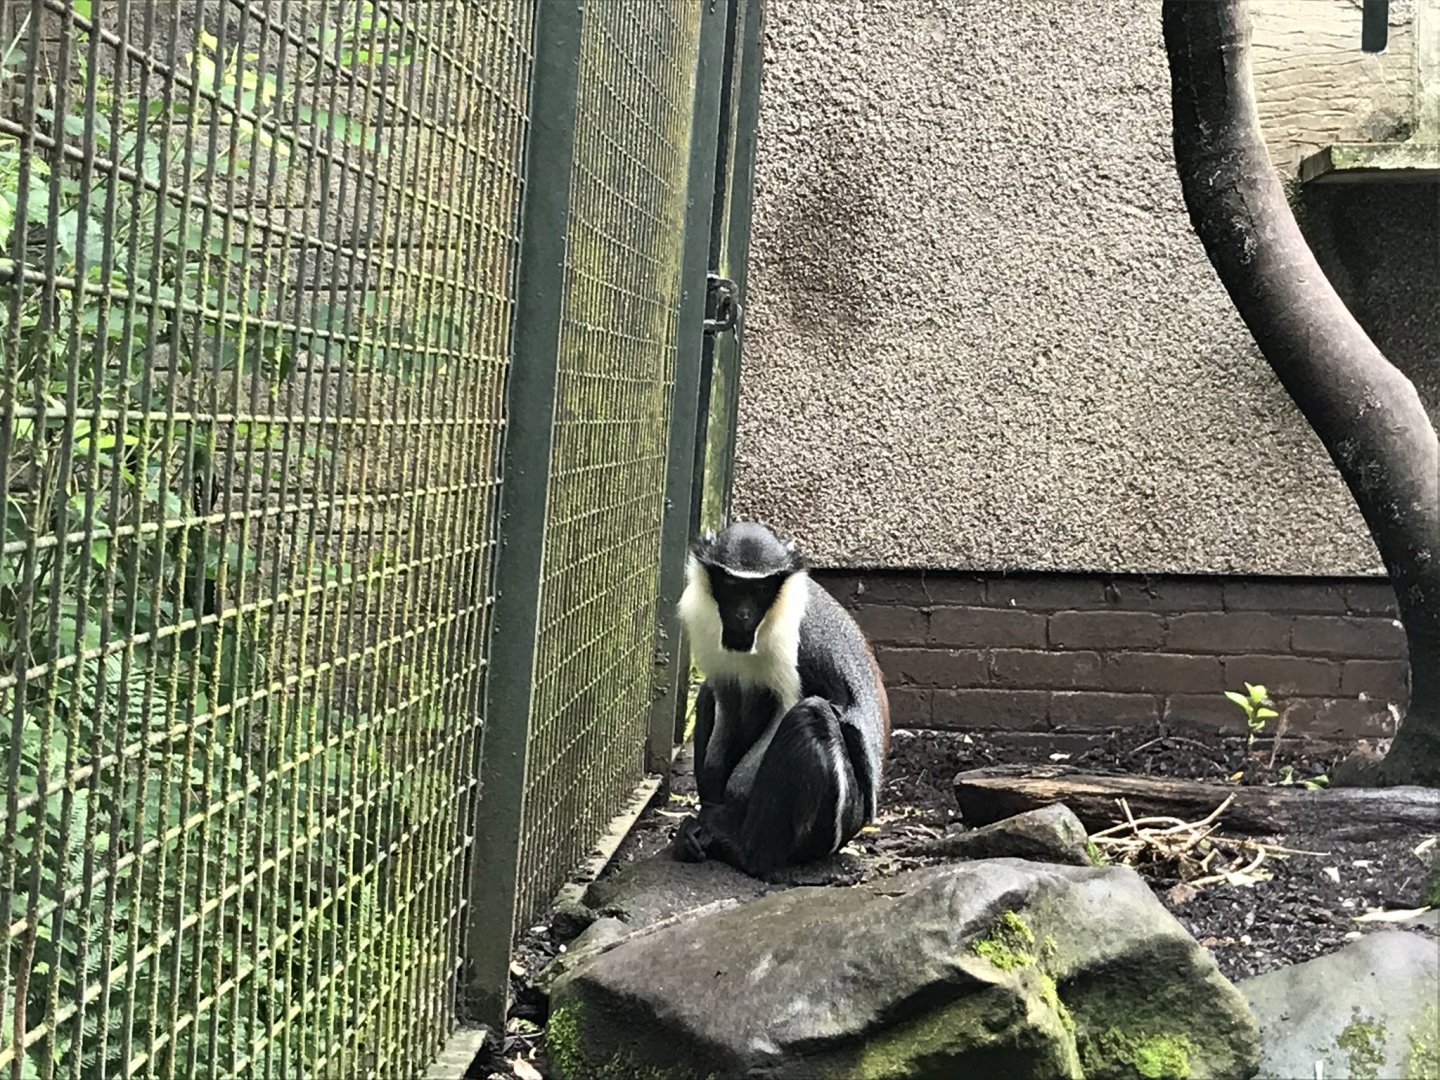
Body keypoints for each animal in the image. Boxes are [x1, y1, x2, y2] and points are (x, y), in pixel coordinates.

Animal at [670, 521, 890, 879]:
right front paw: (709, 807)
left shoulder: (790, 642)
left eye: (760, 589)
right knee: (707, 696)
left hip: (832, 825)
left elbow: (786, 710)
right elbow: (723, 697)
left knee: (811, 717)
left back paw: (746, 851)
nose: (743, 615)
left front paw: (729, 802)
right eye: (732, 585)